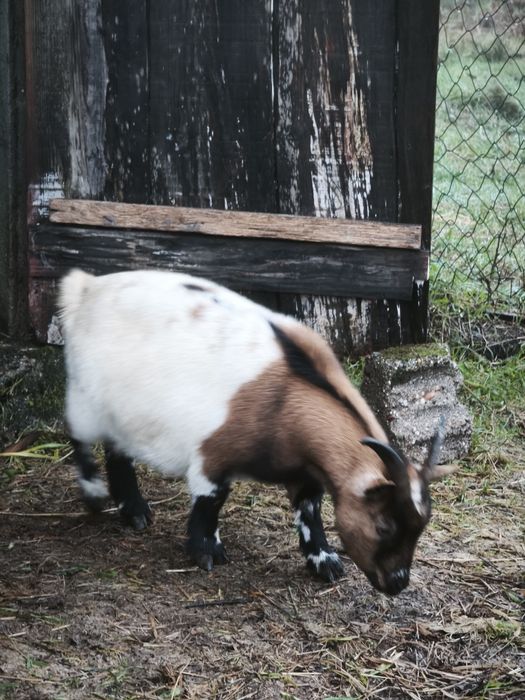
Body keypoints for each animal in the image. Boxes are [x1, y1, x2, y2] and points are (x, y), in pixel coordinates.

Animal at [59, 269, 452, 595]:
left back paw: (135, 510)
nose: (397, 583)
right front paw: (207, 552)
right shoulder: (212, 458)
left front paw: (323, 560)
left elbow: (309, 511)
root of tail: (86, 288)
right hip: (85, 398)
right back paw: (95, 495)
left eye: (419, 528)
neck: (286, 399)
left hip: (120, 412)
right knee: (79, 437)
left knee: (117, 450)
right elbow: (212, 501)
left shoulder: (306, 472)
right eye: (384, 526)